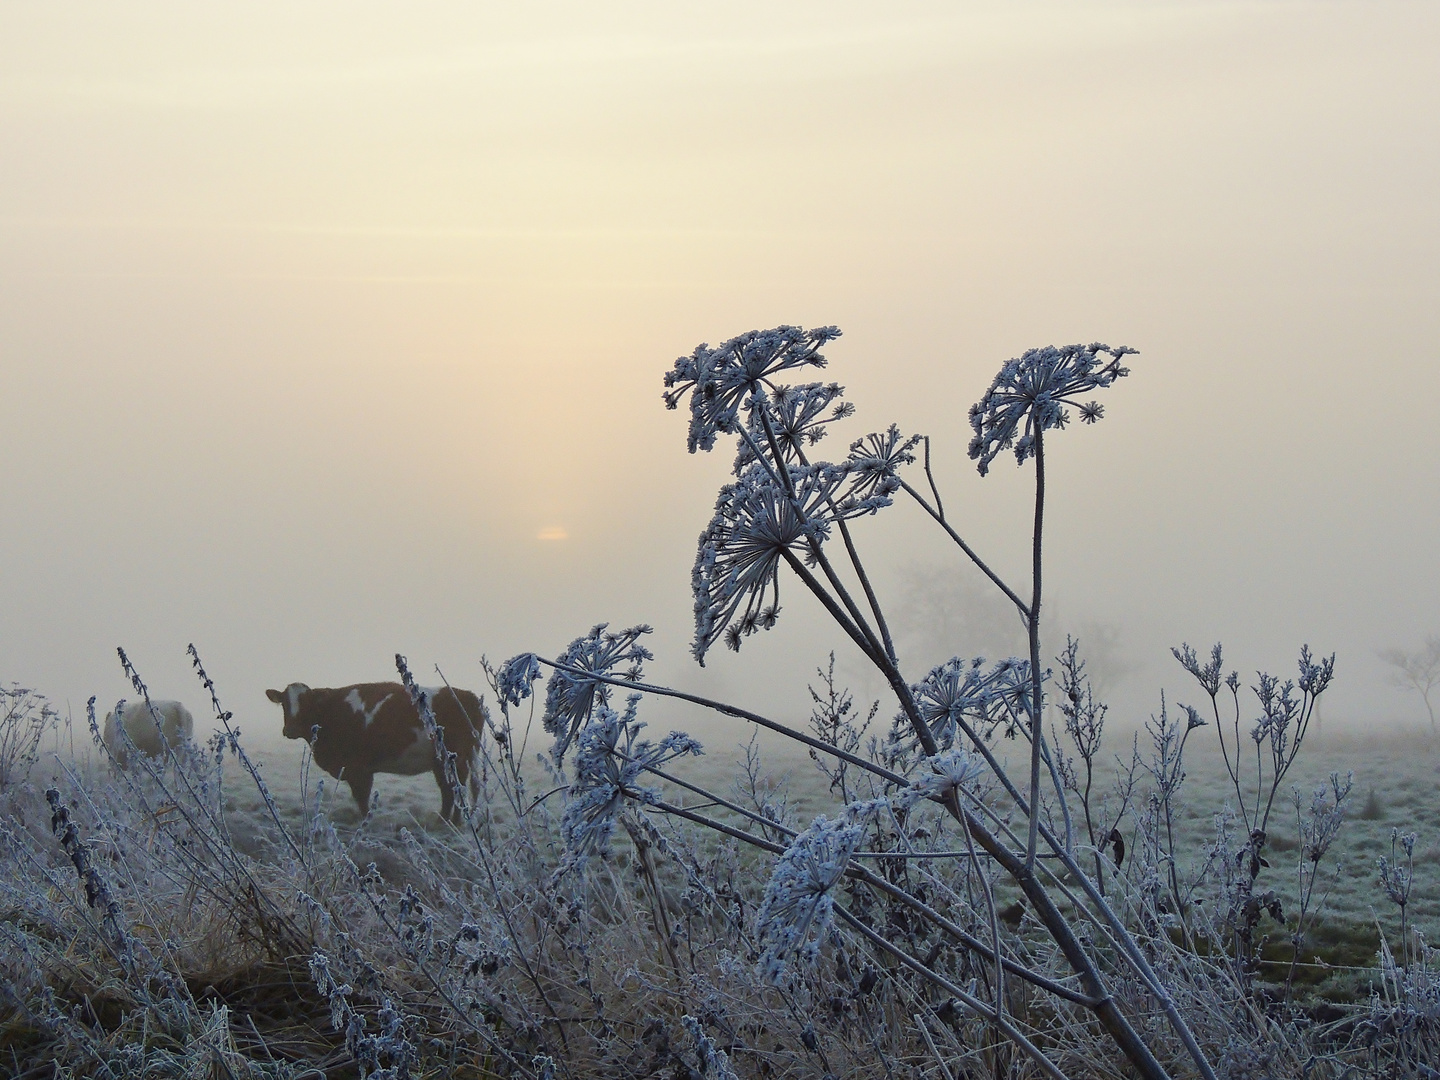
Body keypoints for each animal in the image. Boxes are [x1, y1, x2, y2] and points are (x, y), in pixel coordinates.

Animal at [270, 679, 489, 823]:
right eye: (284, 703)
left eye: (307, 703)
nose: (290, 730)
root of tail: (469, 695)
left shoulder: (359, 769)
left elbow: (362, 798)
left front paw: (366, 821)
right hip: (443, 762)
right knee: (449, 790)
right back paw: (443, 820)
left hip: (457, 759)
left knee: (458, 788)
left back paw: (454, 822)